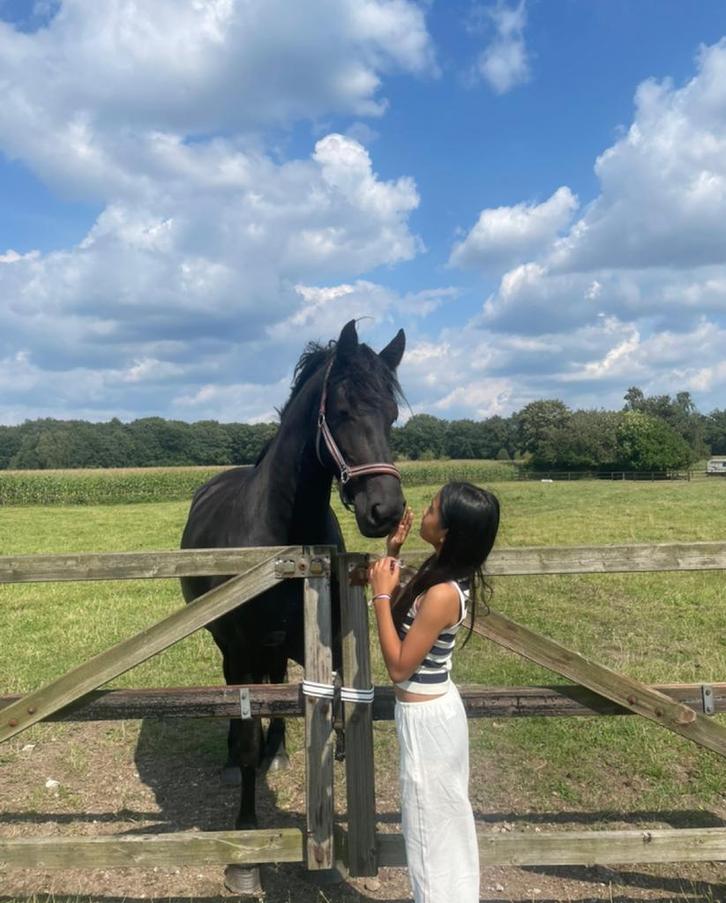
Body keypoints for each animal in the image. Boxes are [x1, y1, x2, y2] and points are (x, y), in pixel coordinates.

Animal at [180, 319, 405, 894]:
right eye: (342, 411)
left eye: (392, 415)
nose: (385, 510)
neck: (281, 532)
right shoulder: (241, 650)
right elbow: (246, 741)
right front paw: (245, 851)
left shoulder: (317, 646)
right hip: (230, 648)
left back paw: (278, 750)